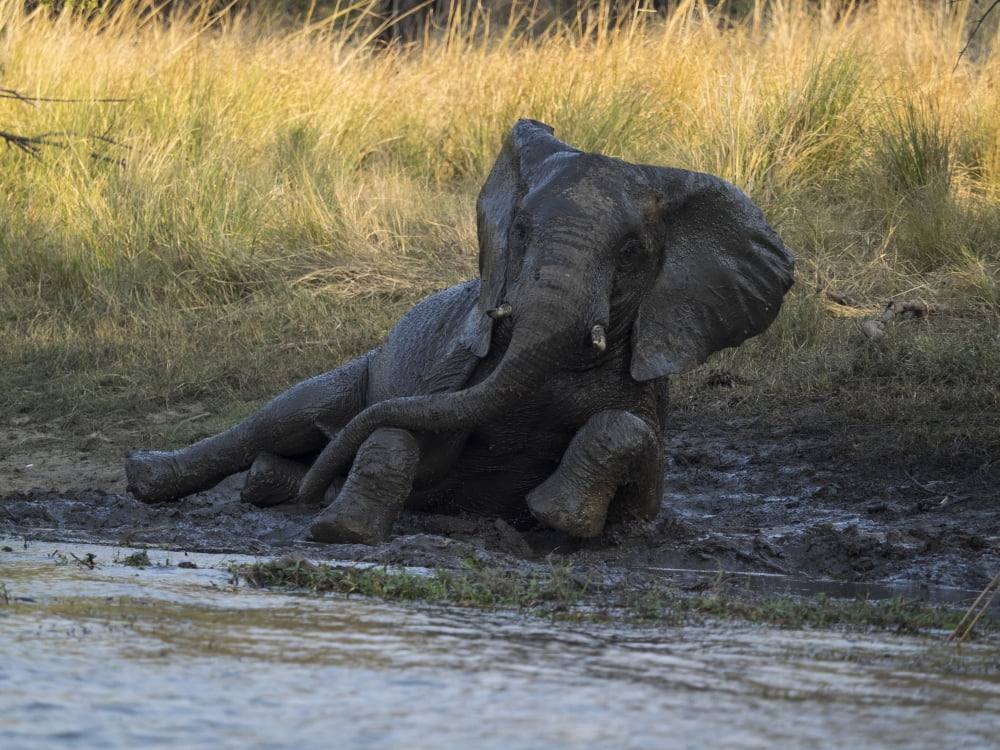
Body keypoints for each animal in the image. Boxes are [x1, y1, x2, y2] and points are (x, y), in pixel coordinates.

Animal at [125, 119, 794, 545]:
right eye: (519, 232)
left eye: (631, 254)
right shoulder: (451, 368)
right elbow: (406, 424)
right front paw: (340, 531)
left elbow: (635, 449)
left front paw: (556, 517)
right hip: (362, 368)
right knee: (290, 414)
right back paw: (152, 477)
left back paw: (274, 484)